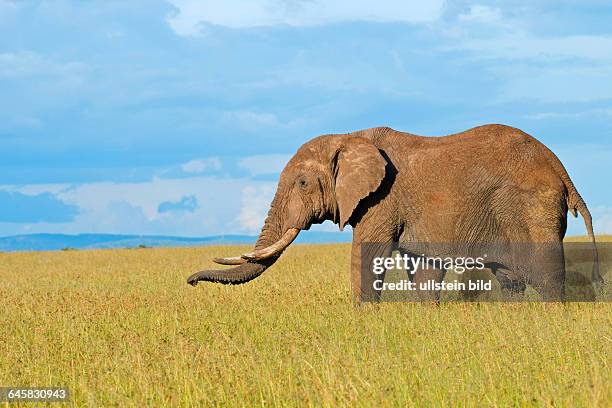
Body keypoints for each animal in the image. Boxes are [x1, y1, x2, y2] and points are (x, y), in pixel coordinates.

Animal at [185, 122, 596, 302]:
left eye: (302, 183)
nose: (190, 282)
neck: (349, 138)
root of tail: (560, 167)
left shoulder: (381, 201)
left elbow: (369, 256)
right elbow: (424, 270)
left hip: (532, 209)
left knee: (545, 275)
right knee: (511, 279)